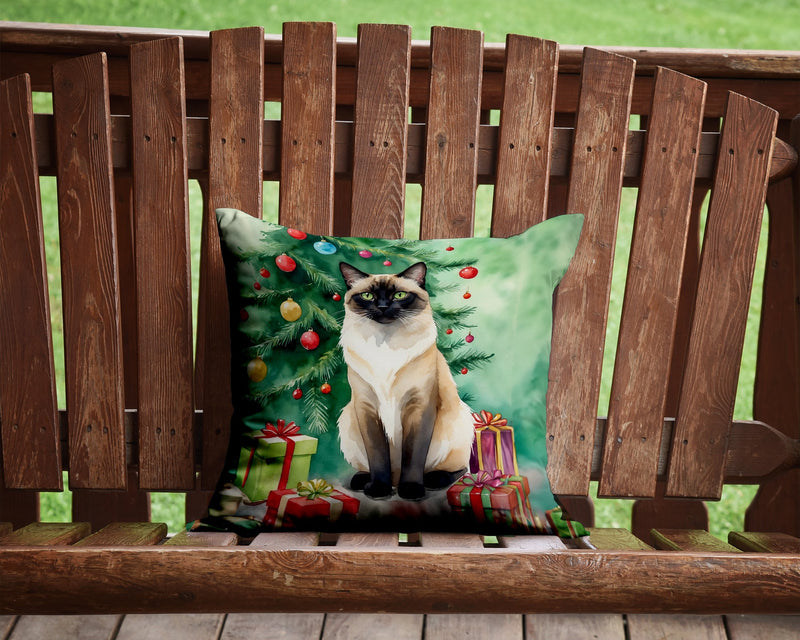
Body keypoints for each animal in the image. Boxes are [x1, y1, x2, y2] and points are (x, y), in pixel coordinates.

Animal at [334, 262, 472, 502]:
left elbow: (413, 455)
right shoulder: (366, 407)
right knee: (377, 469)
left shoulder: (418, 406)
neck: (385, 344)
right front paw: (378, 489)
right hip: (348, 419)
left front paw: (411, 490)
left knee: (459, 469)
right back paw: (365, 481)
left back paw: (429, 480)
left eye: (399, 295)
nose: (382, 307)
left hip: (461, 419)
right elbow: (377, 457)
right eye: (368, 296)